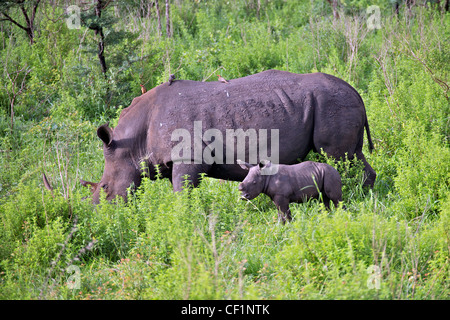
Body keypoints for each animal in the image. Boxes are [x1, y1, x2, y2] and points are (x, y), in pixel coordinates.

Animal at [81, 71, 376, 204]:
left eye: (105, 188)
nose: (99, 215)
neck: (132, 143)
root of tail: (356, 91)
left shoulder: (188, 158)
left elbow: (182, 195)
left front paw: (183, 221)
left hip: (331, 103)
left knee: (338, 156)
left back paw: (353, 198)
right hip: (333, 103)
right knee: (354, 155)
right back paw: (366, 195)